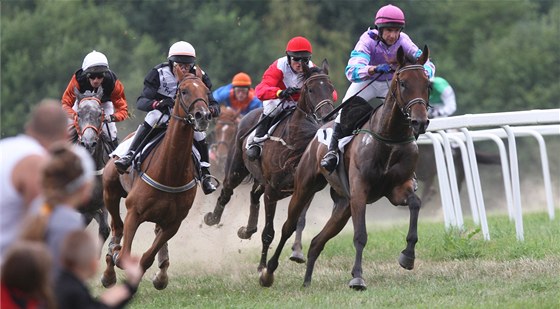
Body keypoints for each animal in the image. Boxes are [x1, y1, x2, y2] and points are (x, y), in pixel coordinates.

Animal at [99, 70, 211, 288]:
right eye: (183, 91)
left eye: (206, 91)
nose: (203, 115)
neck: (169, 172)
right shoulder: (134, 212)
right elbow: (124, 256)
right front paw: (116, 257)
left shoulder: (173, 223)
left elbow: (146, 258)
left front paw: (153, 278)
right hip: (110, 192)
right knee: (117, 227)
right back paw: (109, 270)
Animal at [206, 60, 336, 270]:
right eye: (310, 89)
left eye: (331, 88)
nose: (328, 116)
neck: (295, 141)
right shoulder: (273, 190)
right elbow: (268, 232)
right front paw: (262, 267)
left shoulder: (305, 190)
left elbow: (298, 222)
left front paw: (296, 252)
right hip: (236, 169)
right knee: (226, 191)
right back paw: (213, 218)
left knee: (253, 194)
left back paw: (247, 230)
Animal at [260, 45, 430, 288]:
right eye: (404, 83)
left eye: (427, 84)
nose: (420, 122)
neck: (389, 138)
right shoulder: (359, 190)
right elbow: (360, 235)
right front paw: (357, 277)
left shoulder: (397, 188)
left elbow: (415, 204)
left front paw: (407, 256)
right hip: (305, 187)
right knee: (288, 226)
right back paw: (268, 272)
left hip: (342, 205)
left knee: (317, 241)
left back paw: (307, 282)